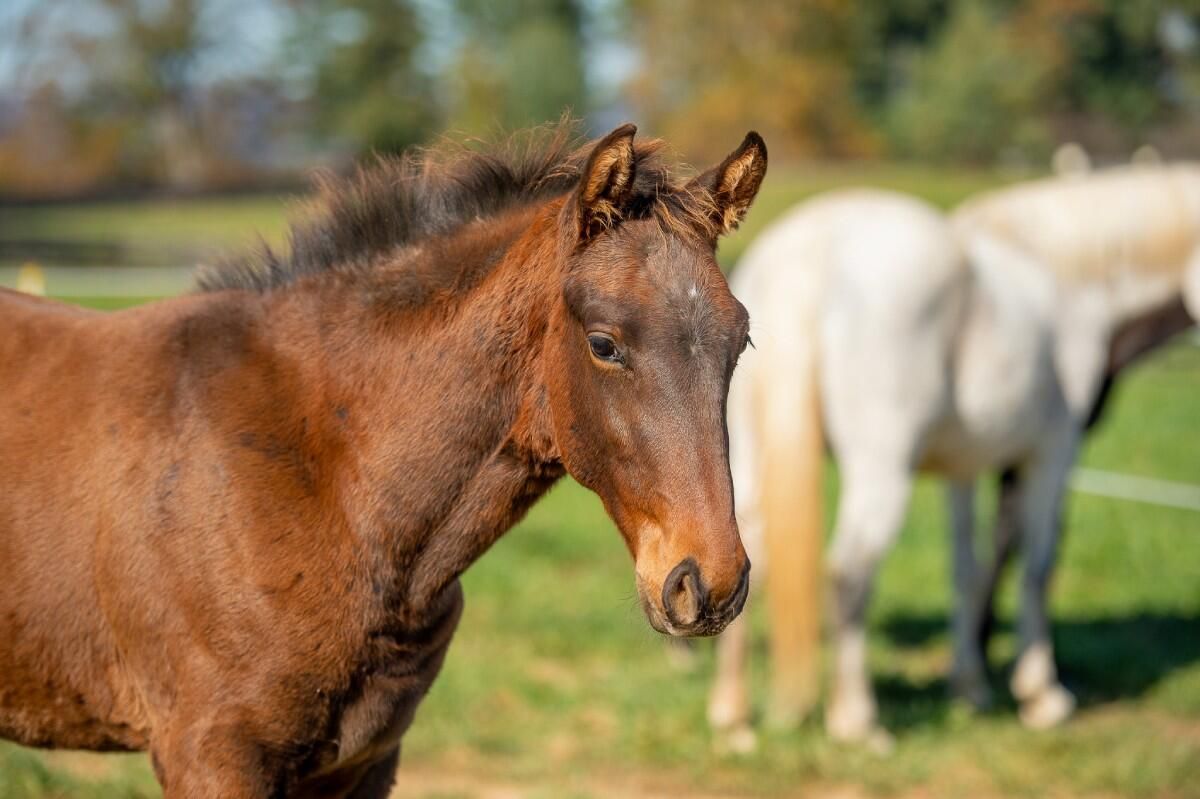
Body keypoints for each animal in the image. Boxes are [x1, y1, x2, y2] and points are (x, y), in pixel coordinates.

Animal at [0, 121, 767, 797]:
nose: (708, 584)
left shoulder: (363, 761)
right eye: (604, 344)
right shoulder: (211, 754)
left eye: (742, 341)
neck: (327, 478)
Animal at [707, 165, 1200, 750]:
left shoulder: (962, 471)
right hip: (882, 472)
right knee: (850, 574)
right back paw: (857, 720)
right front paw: (1042, 695)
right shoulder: (1053, 454)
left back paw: (734, 718)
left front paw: (970, 686)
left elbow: (966, 568)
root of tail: (802, 258)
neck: (1072, 279)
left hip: (749, 457)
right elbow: (1037, 565)